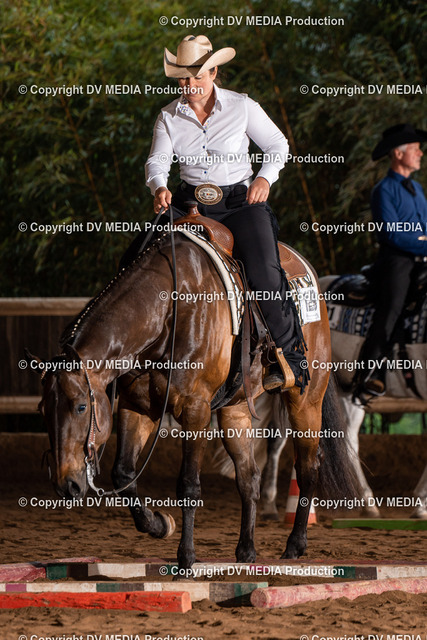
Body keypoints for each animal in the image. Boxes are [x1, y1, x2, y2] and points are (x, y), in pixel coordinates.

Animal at [27, 221, 360, 572]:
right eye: (42, 411)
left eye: (80, 407)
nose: (66, 485)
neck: (168, 311)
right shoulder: (136, 406)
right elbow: (123, 474)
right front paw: (159, 524)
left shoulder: (194, 409)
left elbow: (188, 483)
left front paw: (186, 557)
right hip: (234, 410)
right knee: (248, 476)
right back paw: (246, 550)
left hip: (305, 400)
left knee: (308, 466)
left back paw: (295, 545)